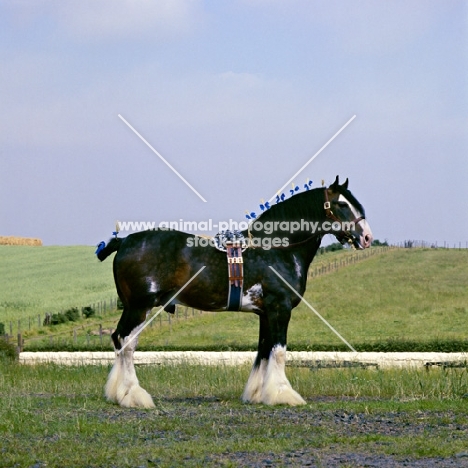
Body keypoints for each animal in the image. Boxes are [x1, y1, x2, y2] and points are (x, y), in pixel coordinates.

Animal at [96, 176, 372, 406]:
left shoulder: (265, 313)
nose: (367, 237)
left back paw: (117, 394)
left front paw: (258, 394)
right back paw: (133, 395)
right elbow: (279, 351)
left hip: (132, 308)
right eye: (342, 204)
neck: (275, 248)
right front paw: (283, 394)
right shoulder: (279, 309)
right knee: (126, 343)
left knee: (118, 339)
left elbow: (264, 351)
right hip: (139, 307)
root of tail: (124, 241)